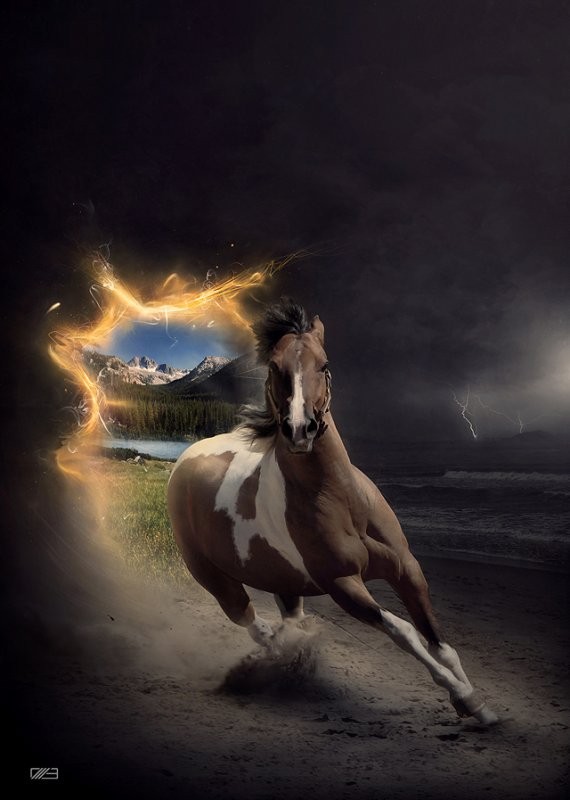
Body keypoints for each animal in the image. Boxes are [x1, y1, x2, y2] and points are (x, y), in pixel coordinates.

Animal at [167, 299, 497, 724]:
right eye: (275, 368)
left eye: (324, 365)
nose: (299, 430)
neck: (343, 502)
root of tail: (186, 459)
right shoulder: (343, 584)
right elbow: (404, 631)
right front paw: (465, 697)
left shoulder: (407, 569)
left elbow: (441, 644)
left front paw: (478, 706)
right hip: (213, 578)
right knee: (253, 623)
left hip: (285, 582)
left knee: (290, 622)